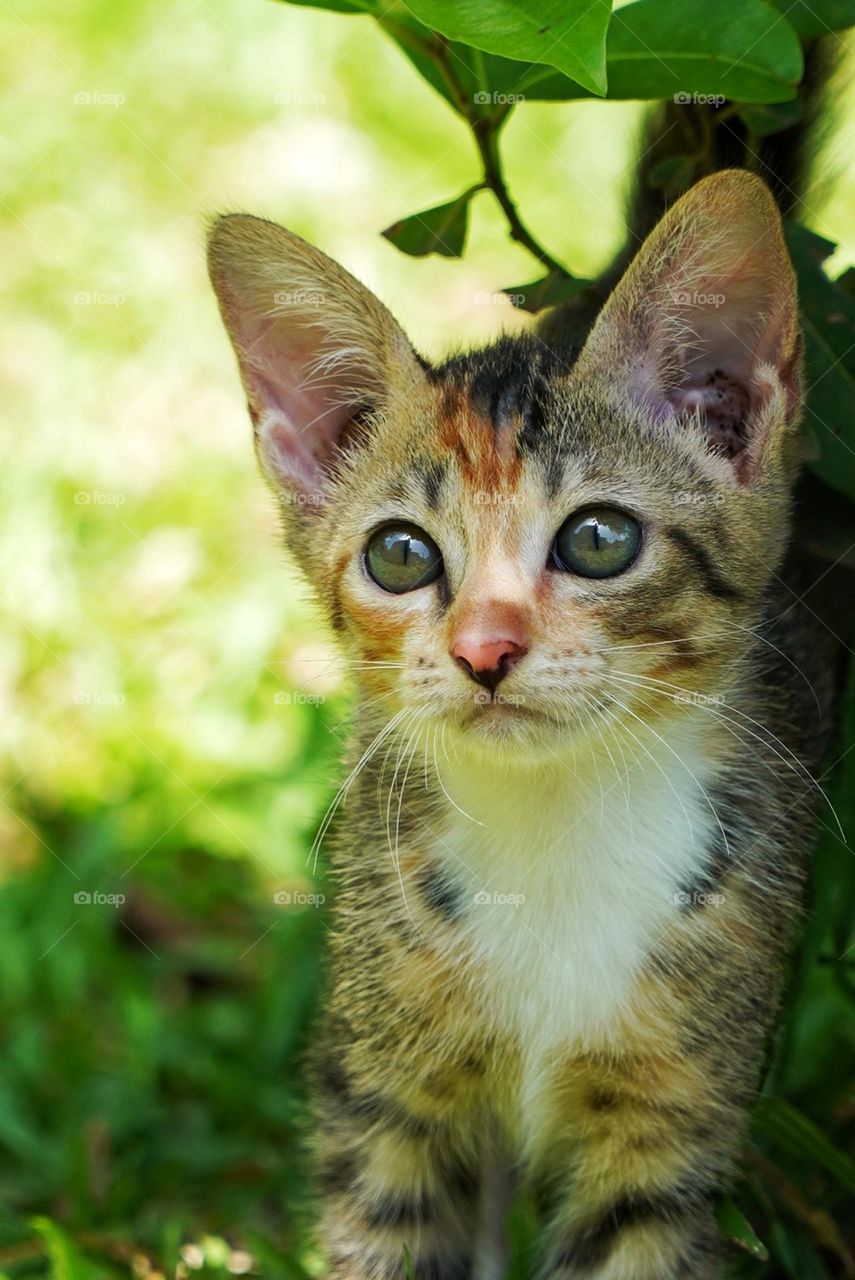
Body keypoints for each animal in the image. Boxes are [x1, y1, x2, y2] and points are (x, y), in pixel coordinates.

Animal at [208, 175, 834, 1280]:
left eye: (598, 539)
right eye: (401, 555)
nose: (484, 648)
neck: (556, 825)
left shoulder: (673, 1121)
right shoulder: (385, 1093)